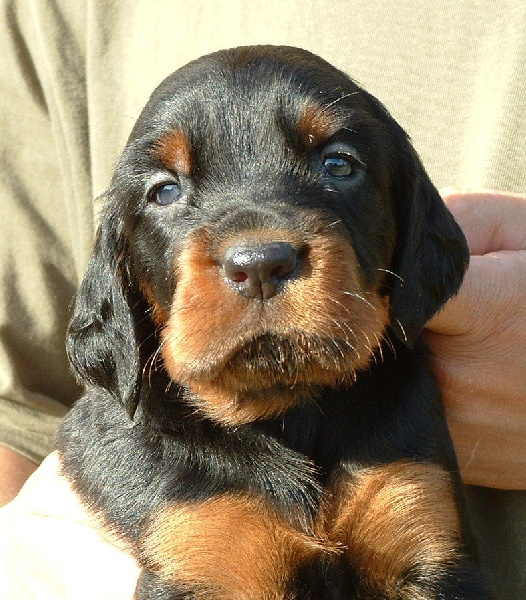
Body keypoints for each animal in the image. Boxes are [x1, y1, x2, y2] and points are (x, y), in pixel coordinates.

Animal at [58, 46, 492, 599]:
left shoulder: (417, 510)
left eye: (338, 163)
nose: (261, 264)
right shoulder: (201, 535)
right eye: (164, 191)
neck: (289, 409)